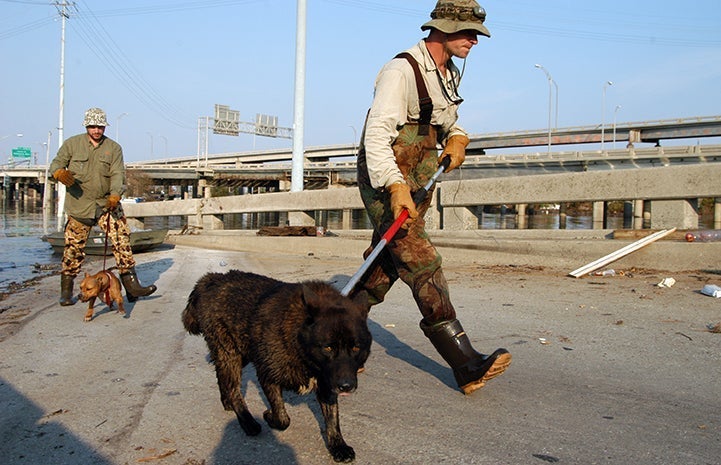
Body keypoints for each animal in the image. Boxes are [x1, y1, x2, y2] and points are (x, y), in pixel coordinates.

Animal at [180, 270, 372, 462]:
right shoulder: (267, 375)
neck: (299, 344)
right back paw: (247, 421)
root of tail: (211, 279)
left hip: (241, 354)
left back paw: (227, 402)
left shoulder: (327, 385)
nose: (346, 386)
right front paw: (269, 416)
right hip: (230, 355)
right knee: (234, 389)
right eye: (328, 347)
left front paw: (338, 446)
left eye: (356, 347)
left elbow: (333, 419)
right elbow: (283, 419)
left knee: (222, 377)